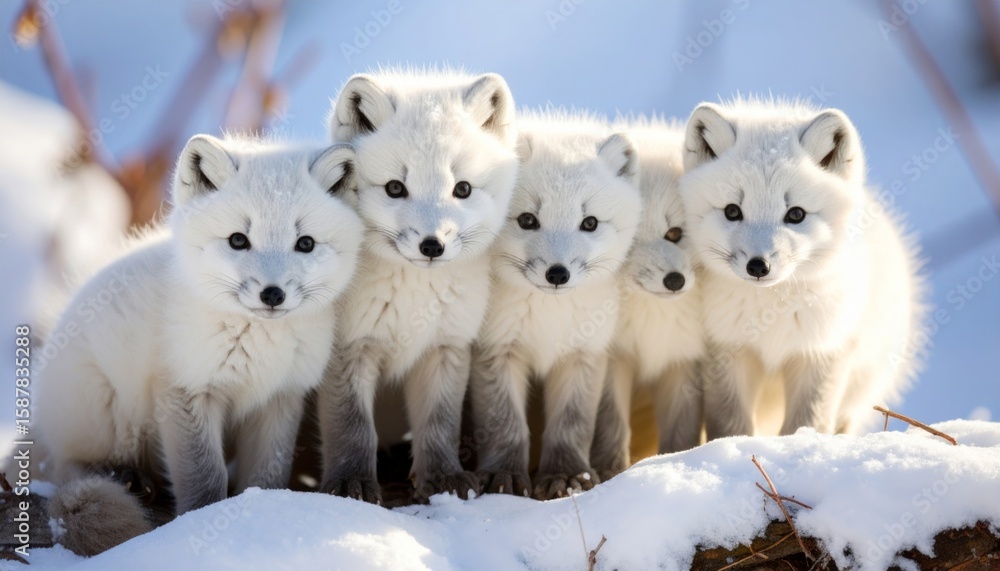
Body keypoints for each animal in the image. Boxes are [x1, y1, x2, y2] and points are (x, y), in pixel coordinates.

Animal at [35, 135, 364, 555]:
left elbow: (268, 472)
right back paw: (121, 475)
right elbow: (203, 476)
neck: (259, 344)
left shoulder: (279, 398)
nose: (272, 294)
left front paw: (265, 509)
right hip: (103, 409)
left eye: (305, 243)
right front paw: (202, 521)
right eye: (238, 240)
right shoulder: (185, 391)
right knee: (67, 467)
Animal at [316, 69, 520, 504]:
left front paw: (444, 479)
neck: (413, 299)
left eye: (462, 188)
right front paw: (351, 483)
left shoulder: (445, 347)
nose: (432, 245)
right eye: (395, 188)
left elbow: (439, 425)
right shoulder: (349, 348)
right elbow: (352, 427)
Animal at [470, 110, 642, 500]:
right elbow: (505, 423)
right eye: (527, 220)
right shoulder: (497, 349)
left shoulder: (583, 355)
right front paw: (504, 475)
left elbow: (572, 424)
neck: (549, 319)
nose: (558, 274)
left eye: (589, 222)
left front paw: (567, 476)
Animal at [589, 117, 705, 481]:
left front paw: (676, 462)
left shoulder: (683, 362)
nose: (674, 280)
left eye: (674, 233)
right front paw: (611, 473)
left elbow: (681, 433)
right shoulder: (614, 359)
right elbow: (611, 424)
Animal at [678, 98, 925, 439]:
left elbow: (807, 422)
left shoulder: (822, 351)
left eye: (795, 214)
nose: (759, 265)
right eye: (732, 211)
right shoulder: (727, 351)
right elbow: (732, 424)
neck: (770, 314)